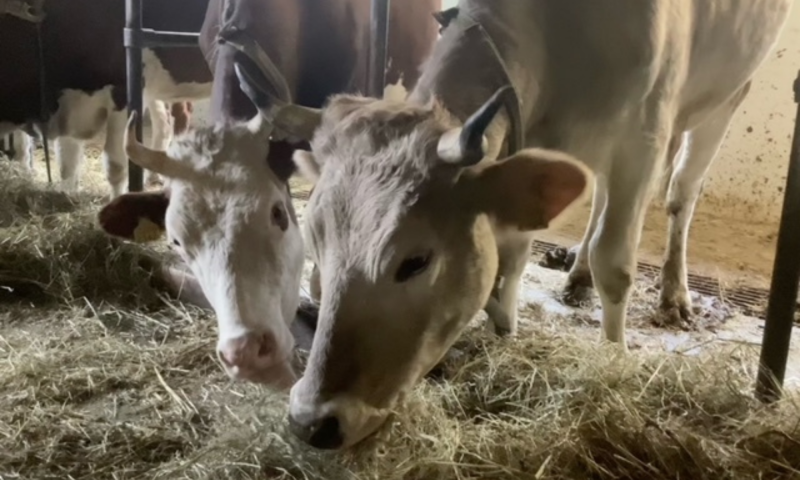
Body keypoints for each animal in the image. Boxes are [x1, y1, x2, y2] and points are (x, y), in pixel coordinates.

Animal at [252, 0, 792, 450]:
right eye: (316, 242)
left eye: (416, 261)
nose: (311, 423)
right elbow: (512, 256)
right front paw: (506, 328)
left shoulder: (643, 136)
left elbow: (616, 263)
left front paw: (613, 358)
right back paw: (577, 276)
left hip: (726, 97)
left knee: (681, 193)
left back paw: (673, 294)